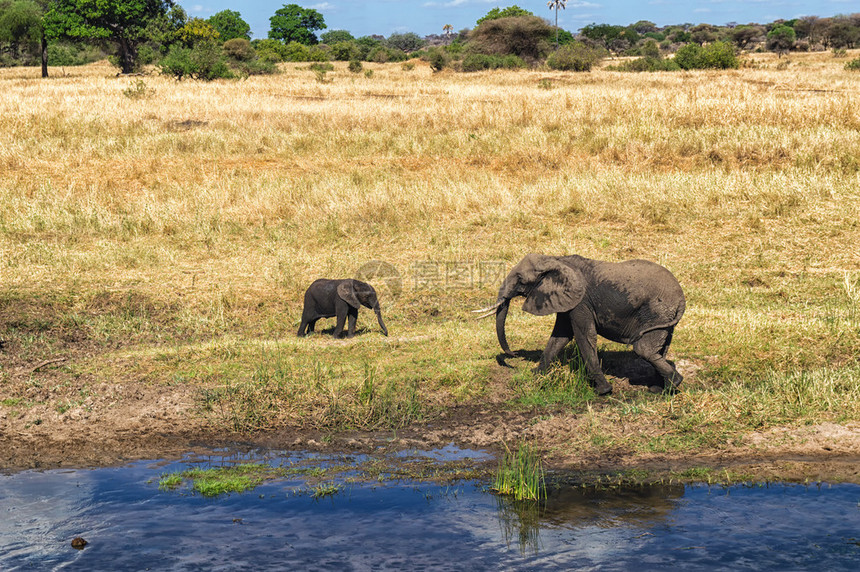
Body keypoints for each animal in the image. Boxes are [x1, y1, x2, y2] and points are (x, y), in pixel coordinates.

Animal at [478, 252, 684, 396]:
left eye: (520, 279)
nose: (513, 354)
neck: (555, 259)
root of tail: (682, 299)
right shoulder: (566, 300)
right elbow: (560, 336)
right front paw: (536, 374)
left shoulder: (581, 301)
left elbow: (584, 335)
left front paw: (603, 391)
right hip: (664, 320)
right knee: (659, 350)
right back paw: (660, 389)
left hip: (657, 312)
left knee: (643, 349)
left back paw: (674, 383)